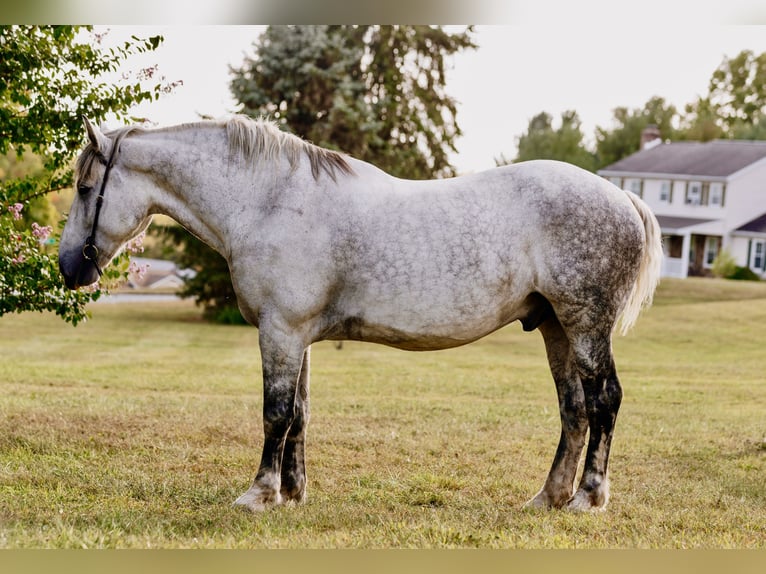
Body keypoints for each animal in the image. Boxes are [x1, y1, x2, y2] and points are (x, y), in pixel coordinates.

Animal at [60, 117, 664, 512]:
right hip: (557, 327)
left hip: (585, 326)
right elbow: (300, 414)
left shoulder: (280, 332)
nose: (70, 266)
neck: (268, 201)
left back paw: (588, 498)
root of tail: (622, 198)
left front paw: (259, 494)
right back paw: (550, 497)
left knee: (604, 402)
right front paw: (292, 492)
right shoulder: (295, 335)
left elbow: (275, 414)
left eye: (86, 187)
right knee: (574, 410)